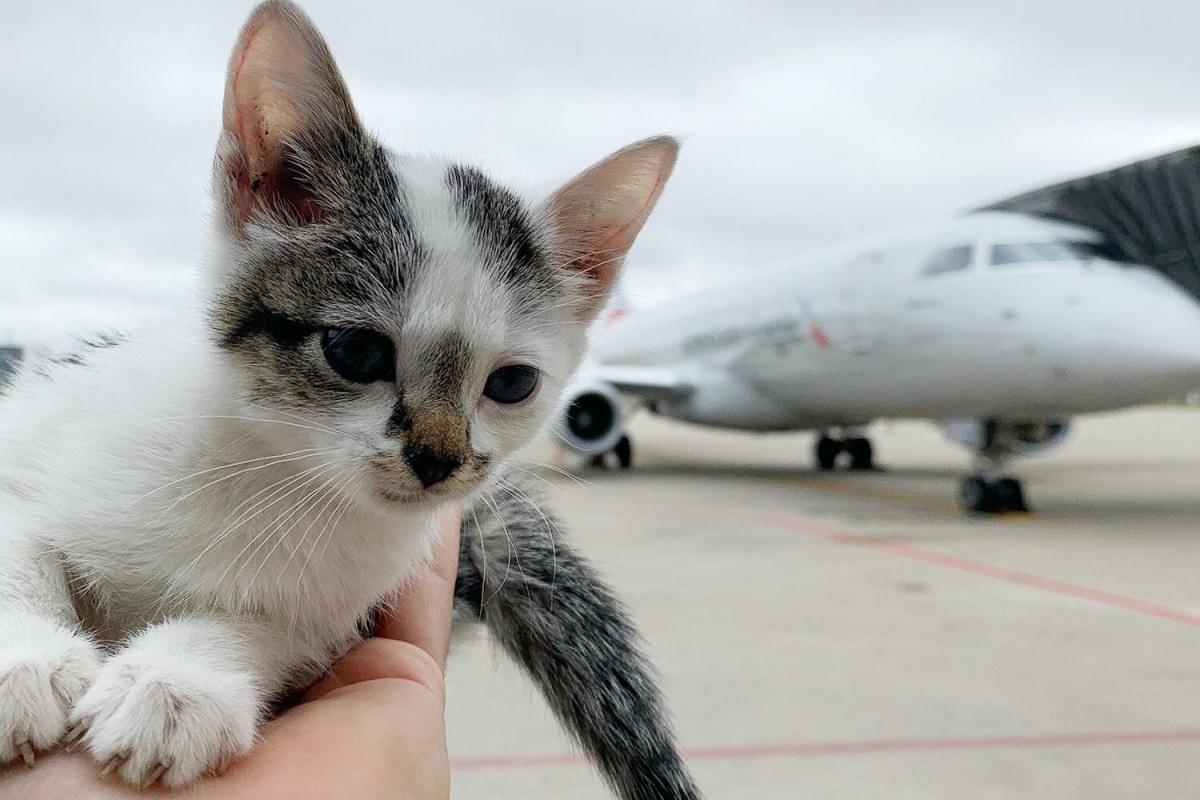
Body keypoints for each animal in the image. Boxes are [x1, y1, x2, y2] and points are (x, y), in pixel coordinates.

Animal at [0, 3, 700, 796]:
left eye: (513, 383)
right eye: (355, 352)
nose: (437, 458)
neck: (270, 475)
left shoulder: (336, 608)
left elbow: (273, 627)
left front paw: (179, 683)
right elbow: (18, 542)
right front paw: (25, 660)